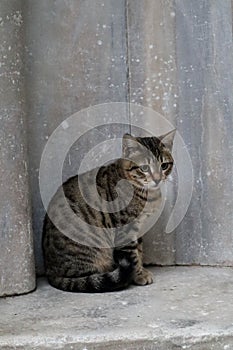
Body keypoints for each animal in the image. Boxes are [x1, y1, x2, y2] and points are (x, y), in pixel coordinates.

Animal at [43, 131, 175, 292]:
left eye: (164, 166)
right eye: (144, 168)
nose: (157, 179)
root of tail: (51, 272)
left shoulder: (139, 230)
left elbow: (139, 251)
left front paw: (141, 270)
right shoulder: (126, 230)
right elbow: (133, 255)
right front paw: (139, 275)